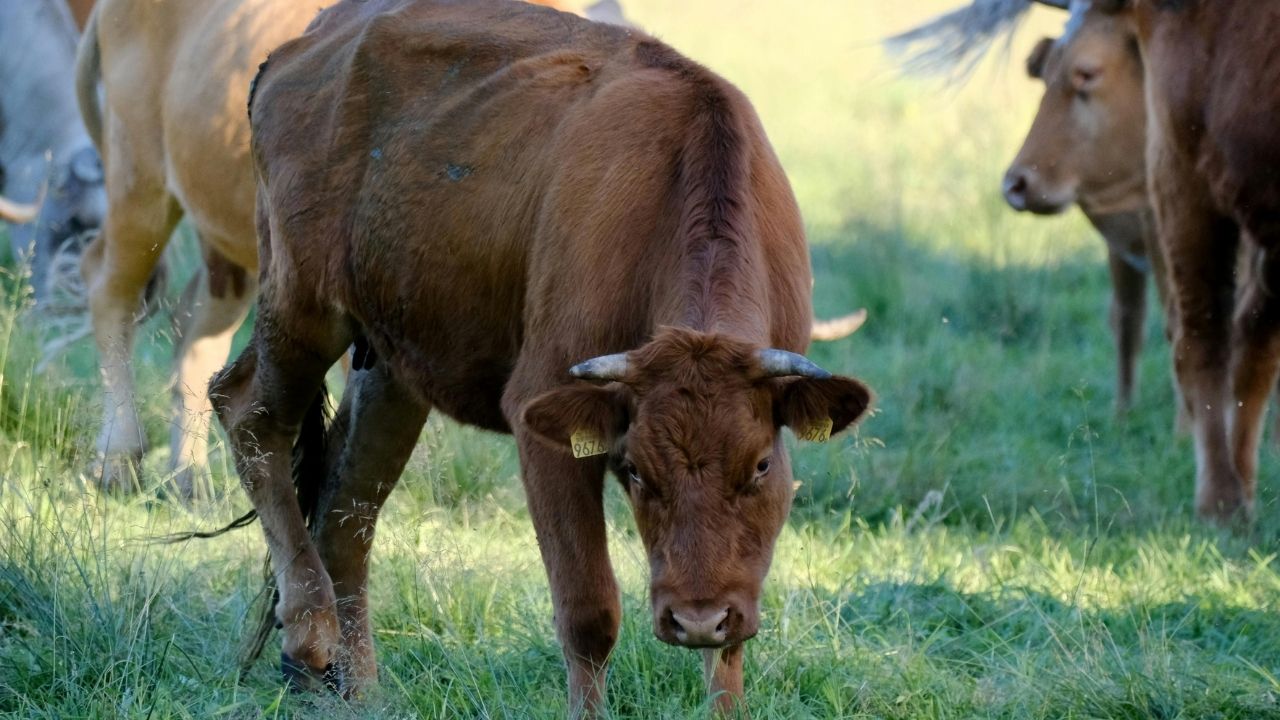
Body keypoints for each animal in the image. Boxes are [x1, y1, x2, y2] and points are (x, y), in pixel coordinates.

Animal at [213, 0, 873, 714]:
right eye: (634, 469)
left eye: (759, 466)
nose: (695, 619)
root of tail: (300, 49)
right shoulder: (548, 424)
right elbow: (588, 612)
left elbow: (731, 647)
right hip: (302, 304)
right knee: (249, 412)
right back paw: (310, 636)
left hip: (389, 366)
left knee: (348, 503)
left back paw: (360, 689)